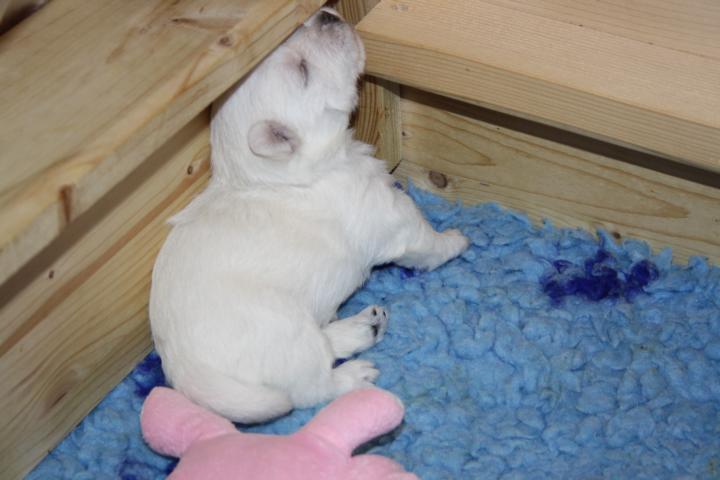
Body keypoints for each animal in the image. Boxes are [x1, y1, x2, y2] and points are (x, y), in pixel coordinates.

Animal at [149, 8, 469, 423]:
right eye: (302, 70)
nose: (326, 14)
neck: (270, 174)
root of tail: (186, 373)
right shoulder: (390, 217)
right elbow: (425, 239)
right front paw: (456, 240)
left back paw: (362, 327)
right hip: (288, 336)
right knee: (312, 388)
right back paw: (355, 374)